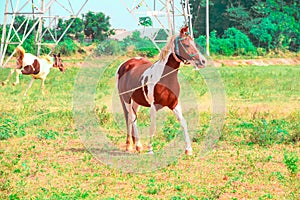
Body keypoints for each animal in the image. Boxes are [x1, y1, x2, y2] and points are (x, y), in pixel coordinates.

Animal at [116, 25, 206, 155]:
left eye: (193, 43)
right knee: (131, 118)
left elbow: (183, 122)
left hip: (136, 101)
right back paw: (134, 146)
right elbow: (153, 126)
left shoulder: (174, 103)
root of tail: (124, 65)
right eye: (186, 44)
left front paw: (188, 149)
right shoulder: (154, 106)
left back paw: (134, 146)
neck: (165, 78)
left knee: (132, 119)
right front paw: (150, 149)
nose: (203, 61)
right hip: (126, 99)